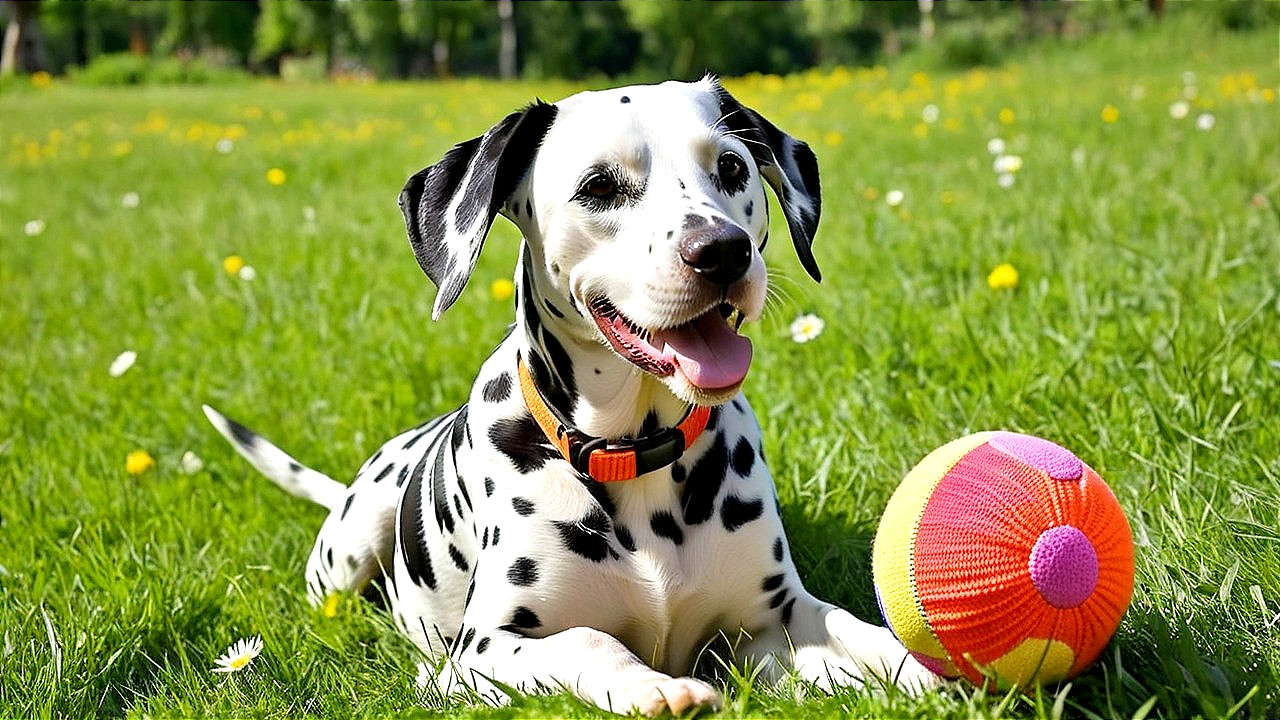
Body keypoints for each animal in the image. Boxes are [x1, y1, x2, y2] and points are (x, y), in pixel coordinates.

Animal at [204, 75, 936, 712]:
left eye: (731, 168)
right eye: (600, 186)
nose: (721, 251)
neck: (633, 452)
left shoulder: (773, 621)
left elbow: (856, 632)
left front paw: (921, 667)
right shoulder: (485, 651)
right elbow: (589, 641)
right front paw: (654, 687)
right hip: (354, 543)